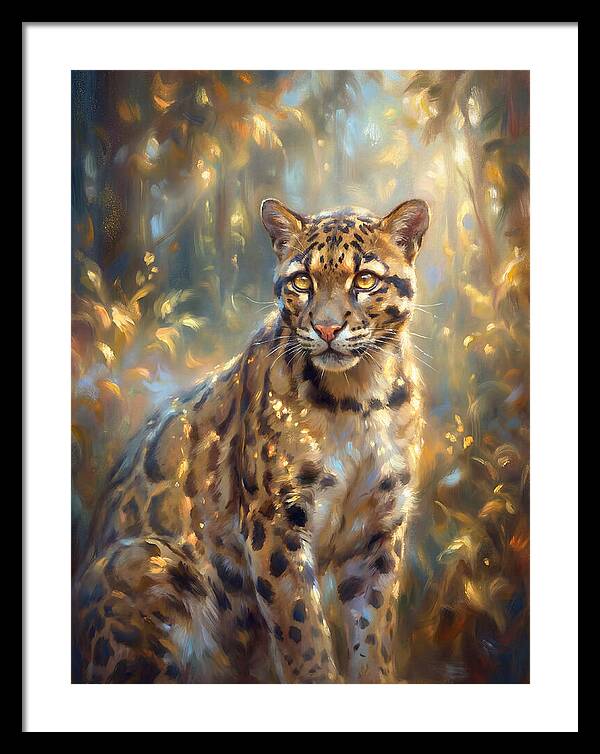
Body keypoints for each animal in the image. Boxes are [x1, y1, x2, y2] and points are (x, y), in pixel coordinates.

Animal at [73, 196, 430, 683]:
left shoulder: (379, 528)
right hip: (149, 563)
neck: (359, 400)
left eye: (365, 279)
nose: (327, 328)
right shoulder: (275, 521)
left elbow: (373, 631)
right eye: (302, 281)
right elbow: (302, 631)